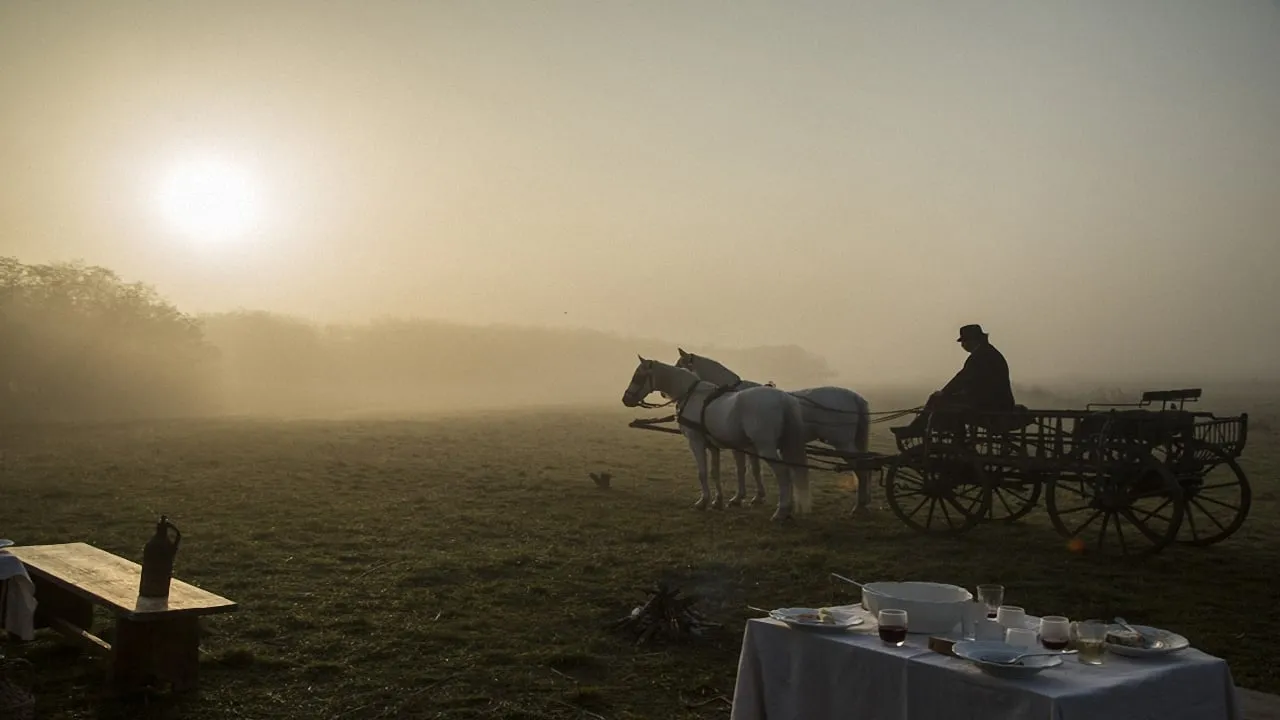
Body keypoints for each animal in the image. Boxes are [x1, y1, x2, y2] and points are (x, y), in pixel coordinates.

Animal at [619, 356, 808, 517]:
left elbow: (702, 472)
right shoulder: (713, 446)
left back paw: (781, 510)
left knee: (783, 472)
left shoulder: (696, 442)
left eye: (638, 376)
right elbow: (714, 472)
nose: (625, 399)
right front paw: (718, 501)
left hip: (765, 446)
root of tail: (783, 397)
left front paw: (703, 502)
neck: (692, 395)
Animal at [675, 345, 875, 509]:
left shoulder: (742, 445)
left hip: (842, 443)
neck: (730, 398)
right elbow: (753, 469)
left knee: (861, 467)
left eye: (680, 365)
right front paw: (754, 497)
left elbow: (745, 469)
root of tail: (854, 396)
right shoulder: (749, 445)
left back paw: (859, 504)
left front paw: (740, 498)